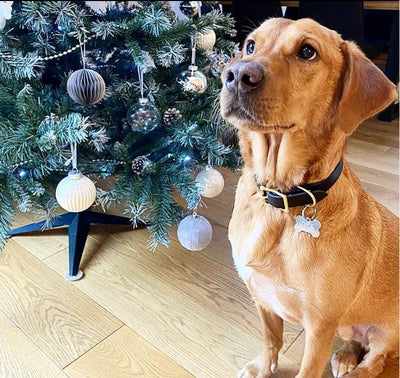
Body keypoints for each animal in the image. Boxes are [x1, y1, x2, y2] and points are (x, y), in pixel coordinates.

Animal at [220, 17, 398, 378]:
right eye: (250, 45)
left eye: (307, 51)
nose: (236, 74)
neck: (282, 201)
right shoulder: (261, 296)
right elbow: (270, 339)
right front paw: (263, 367)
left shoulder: (319, 328)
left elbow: (308, 369)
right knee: (356, 342)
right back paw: (345, 356)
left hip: (389, 331)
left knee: (376, 360)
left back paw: (357, 369)